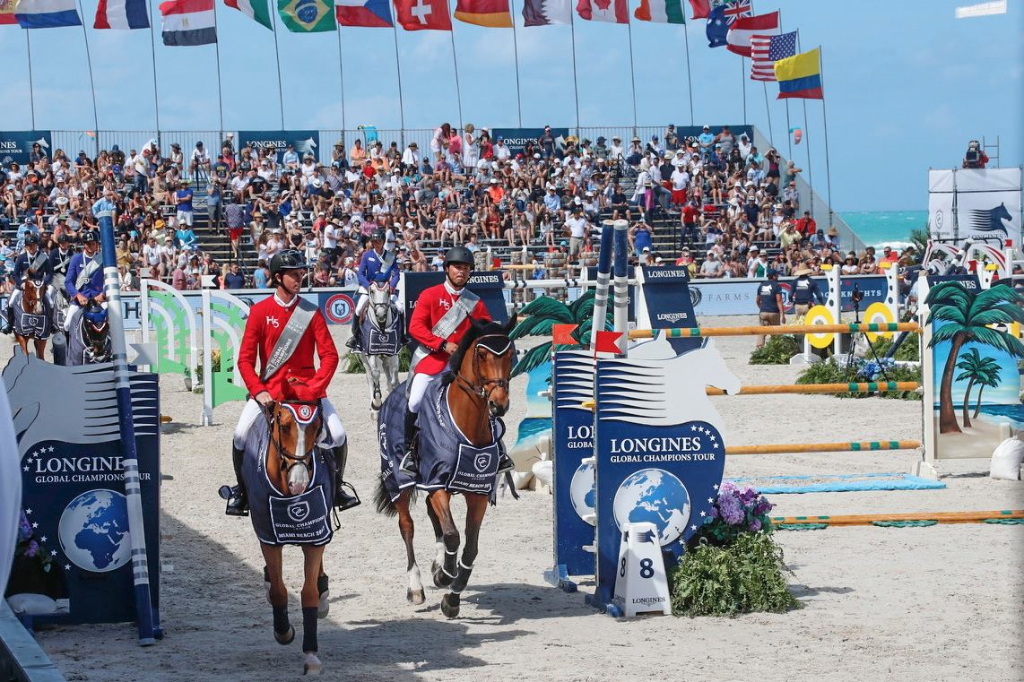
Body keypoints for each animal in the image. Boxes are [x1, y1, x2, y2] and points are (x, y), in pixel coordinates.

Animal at [237, 399, 333, 675]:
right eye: (284, 426)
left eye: (317, 426)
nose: (298, 484)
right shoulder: (268, 537)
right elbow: (280, 590)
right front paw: (284, 631)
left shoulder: (314, 532)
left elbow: (309, 592)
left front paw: (311, 655)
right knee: (273, 579)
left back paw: (323, 594)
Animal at [376, 313, 516, 614]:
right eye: (482, 354)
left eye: (511, 354)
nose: (498, 405)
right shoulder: (436, 482)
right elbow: (453, 535)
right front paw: (445, 575)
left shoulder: (477, 492)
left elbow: (470, 547)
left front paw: (452, 595)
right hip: (398, 481)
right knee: (407, 527)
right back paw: (416, 587)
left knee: (432, 516)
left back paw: (438, 563)